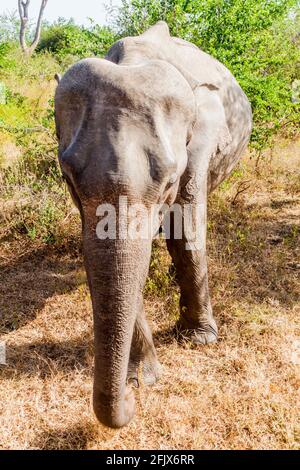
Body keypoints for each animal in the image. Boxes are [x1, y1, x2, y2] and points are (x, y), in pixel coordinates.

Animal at [54, 22, 253, 428]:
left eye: (168, 181)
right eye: (67, 177)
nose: (130, 401)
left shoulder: (200, 144)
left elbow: (186, 231)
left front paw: (198, 340)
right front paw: (141, 379)